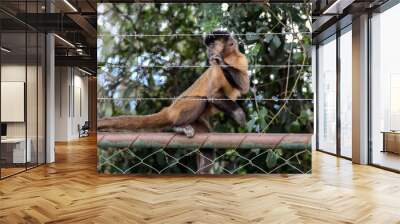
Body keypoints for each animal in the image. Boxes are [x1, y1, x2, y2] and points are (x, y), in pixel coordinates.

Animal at [98, 30, 248, 137]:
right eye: (209, 47)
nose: (209, 51)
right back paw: (177, 127)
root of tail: (170, 109)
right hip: (180, 109)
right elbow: (212, 95)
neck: (230, 57)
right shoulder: (215, 66)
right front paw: (239, 114)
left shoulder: (242, 59)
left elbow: (244, 87)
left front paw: (223, 62)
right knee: (200, 100)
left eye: (213, 45)